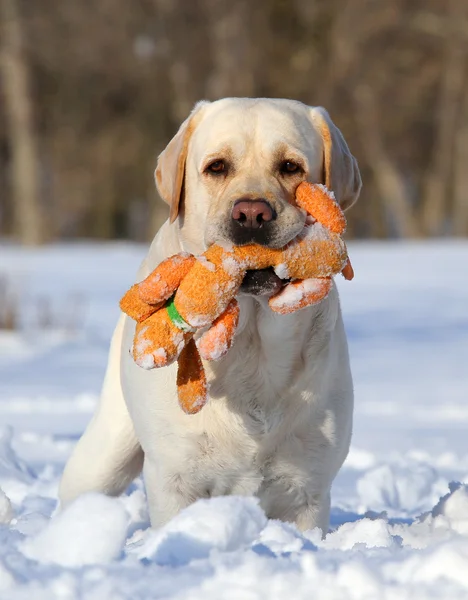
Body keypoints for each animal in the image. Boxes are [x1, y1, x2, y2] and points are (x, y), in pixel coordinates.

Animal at [59, 98, 362, 536]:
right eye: (217, 167)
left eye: (290, 167)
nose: (251, 213)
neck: (252, 344)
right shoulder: (174, 478)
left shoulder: (308, 490)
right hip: (103, 456)